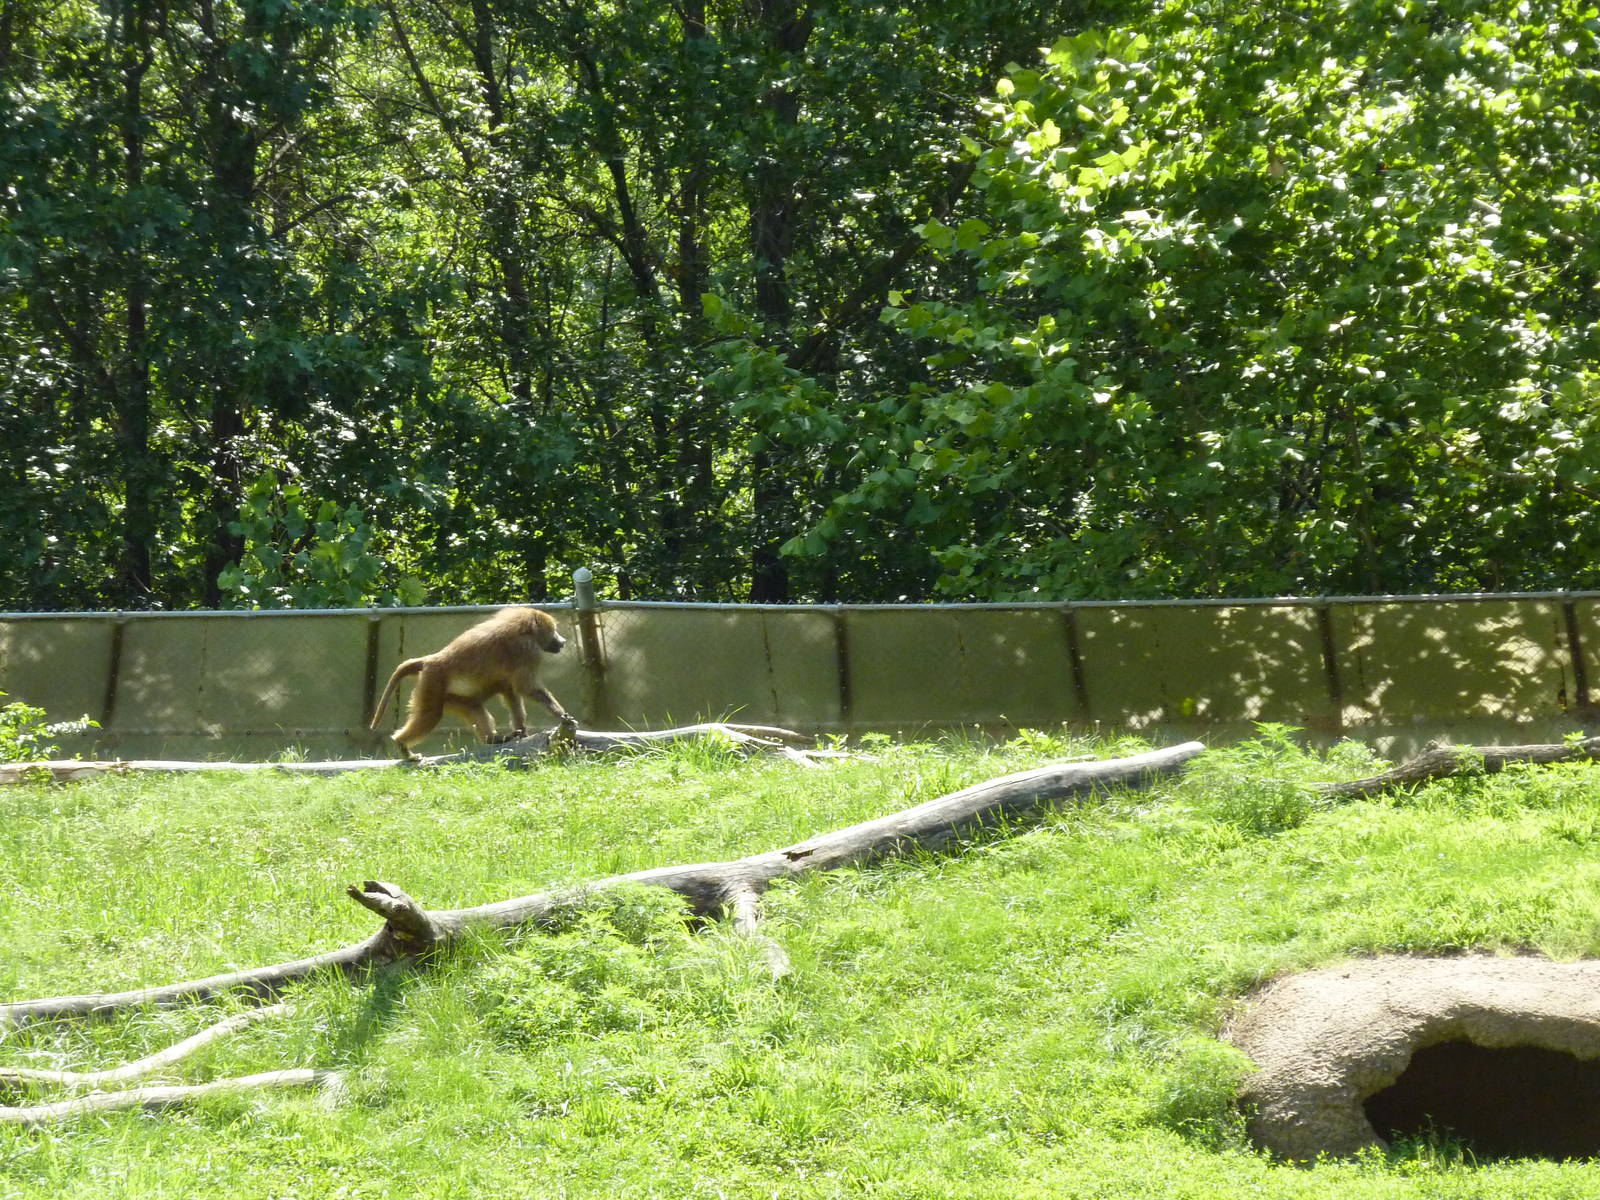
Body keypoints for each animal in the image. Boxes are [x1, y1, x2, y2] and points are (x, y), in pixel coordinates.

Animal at [369, 606, 577, 760]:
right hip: (433, 681)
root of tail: (432, 659)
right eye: (554, 630)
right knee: (430, 715)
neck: (524, 629)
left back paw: (494, 740)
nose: (563, 641)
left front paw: (522, 732)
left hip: (449, 694)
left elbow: (510, 691)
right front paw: (561, 715)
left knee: (472, 705)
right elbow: (525, 688)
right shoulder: (527, 650)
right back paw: (403, 747)